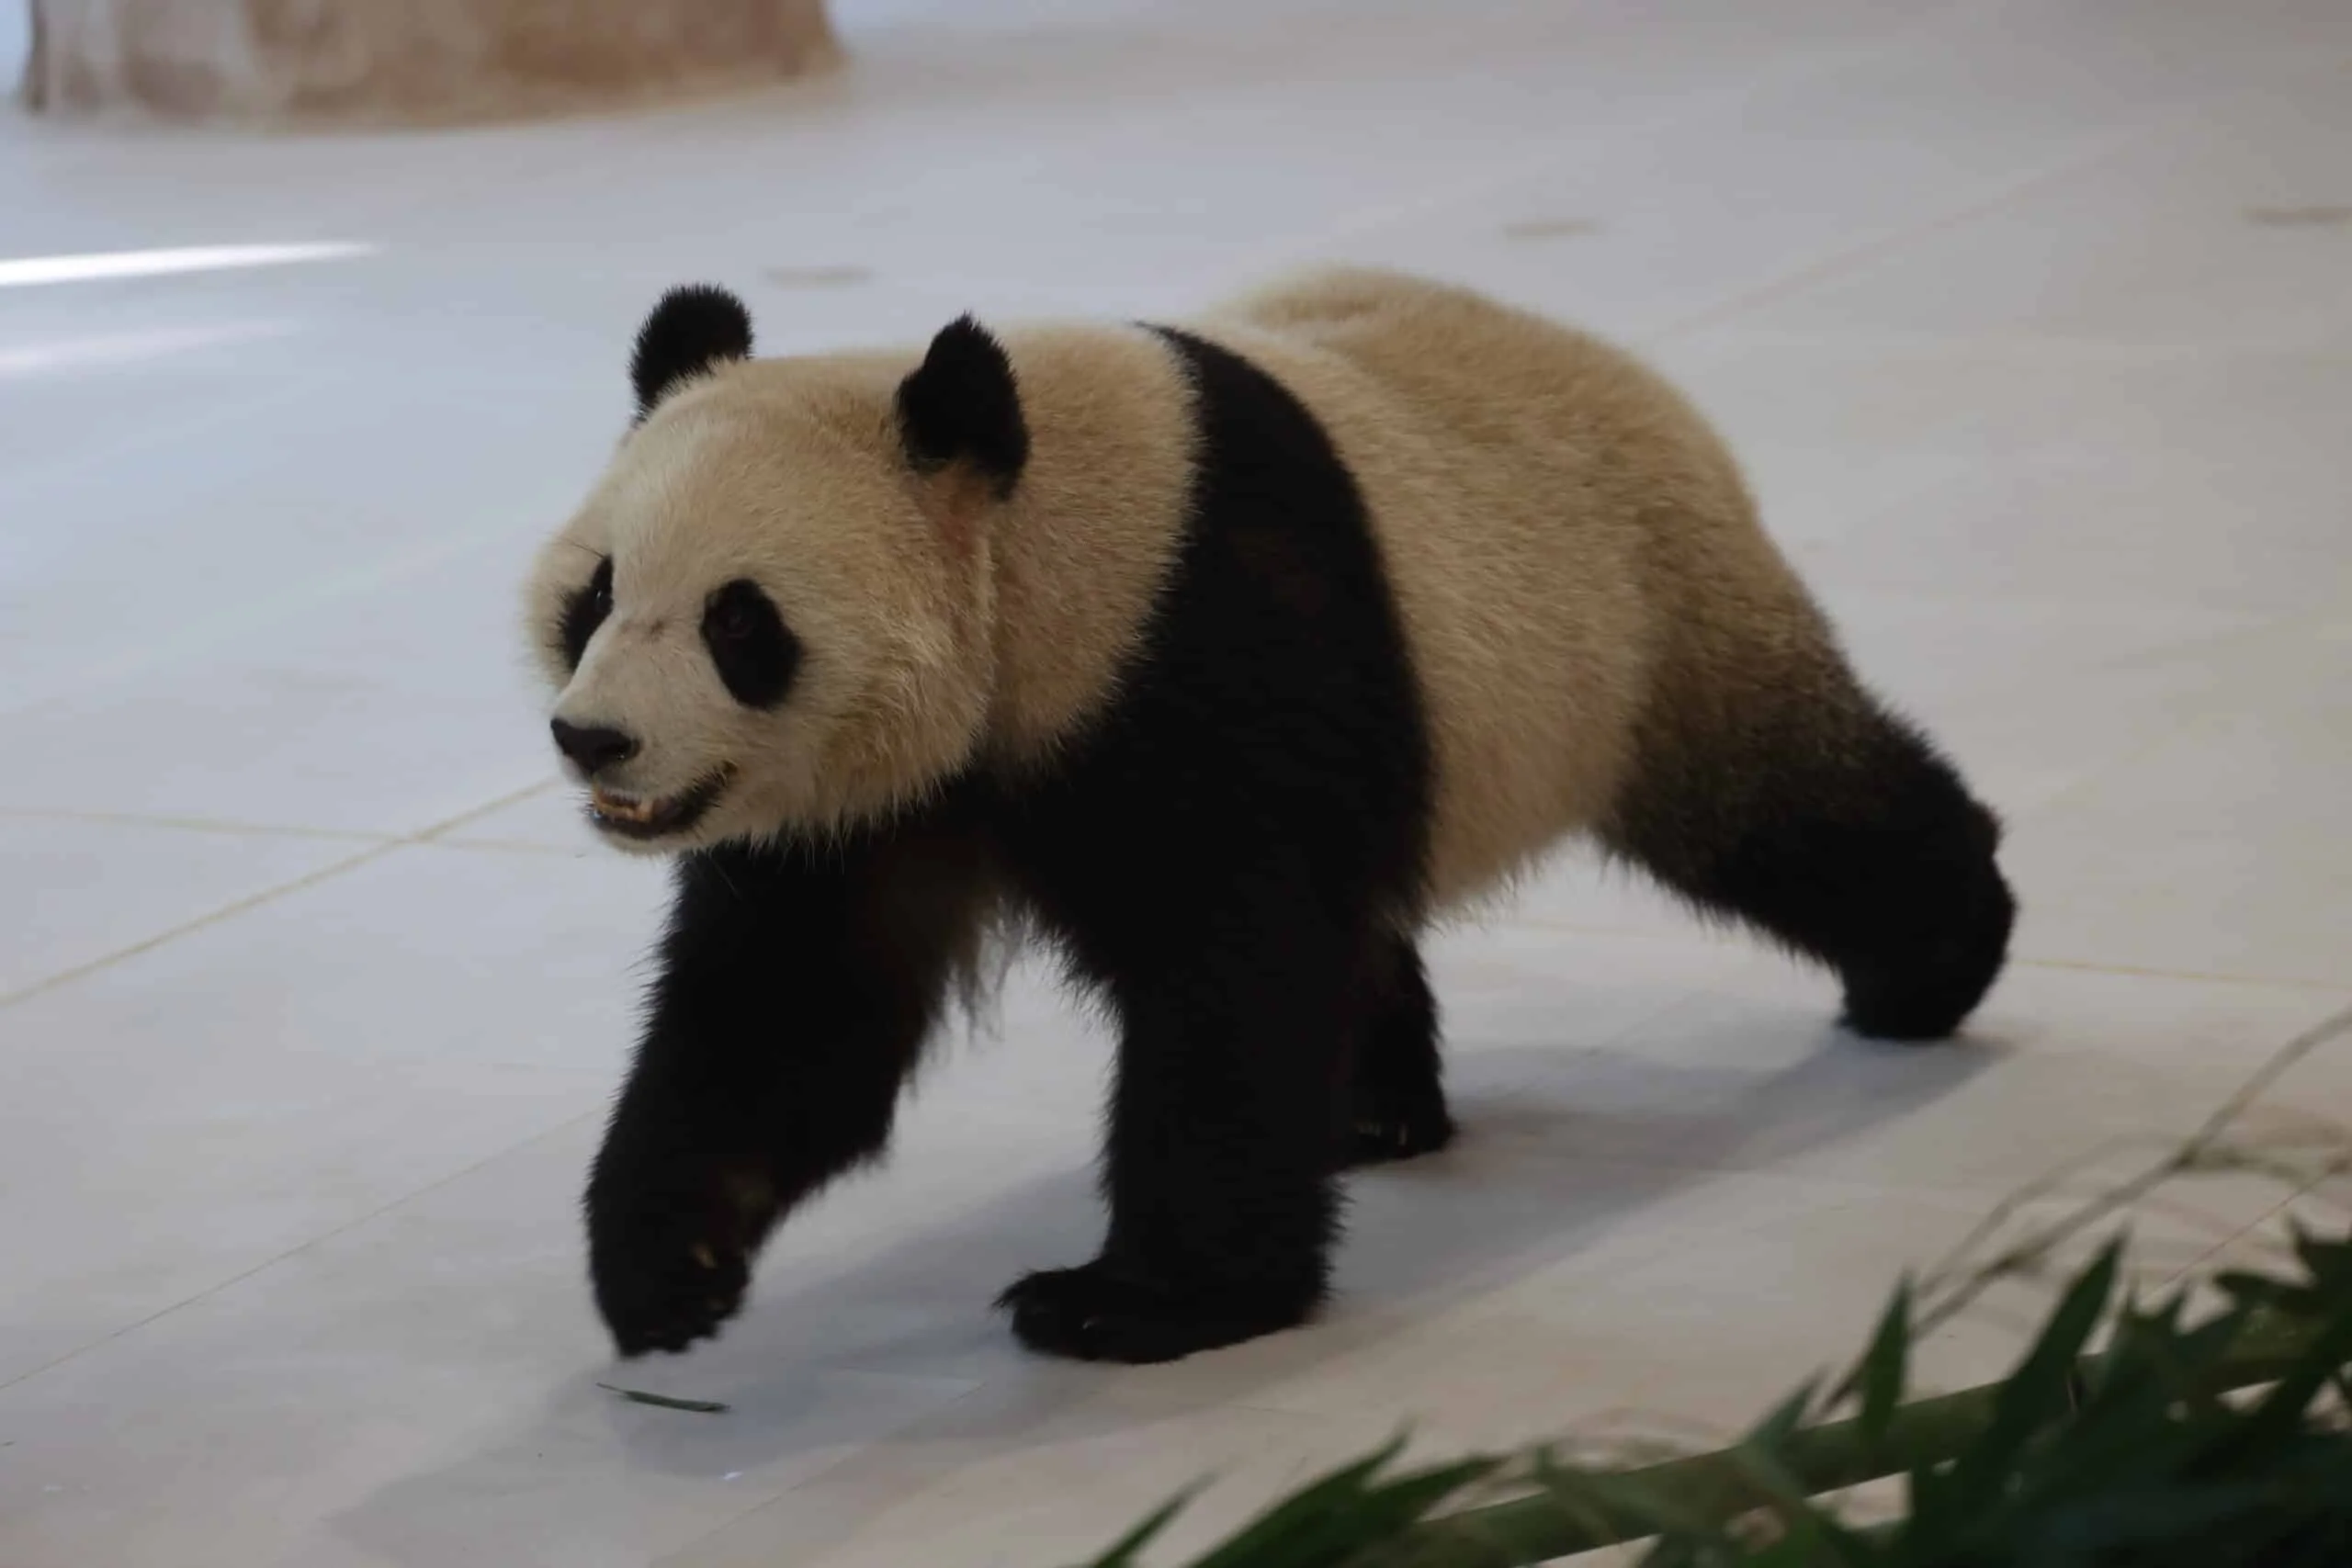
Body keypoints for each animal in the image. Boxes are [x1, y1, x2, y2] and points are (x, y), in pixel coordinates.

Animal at [524, 266, 2015, 1366]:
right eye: (597, 594)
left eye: (739, 623)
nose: (594, 738)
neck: (1033, 556)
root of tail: (1616, 363)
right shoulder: (864, 808)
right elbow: (794, 1013)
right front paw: (671, 1266)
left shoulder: (1200, 641)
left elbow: (1231, 973)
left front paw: (1131, 1302)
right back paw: (1377, 1109)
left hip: (1643, 614)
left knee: (1778, 806)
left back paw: (1934, 961)